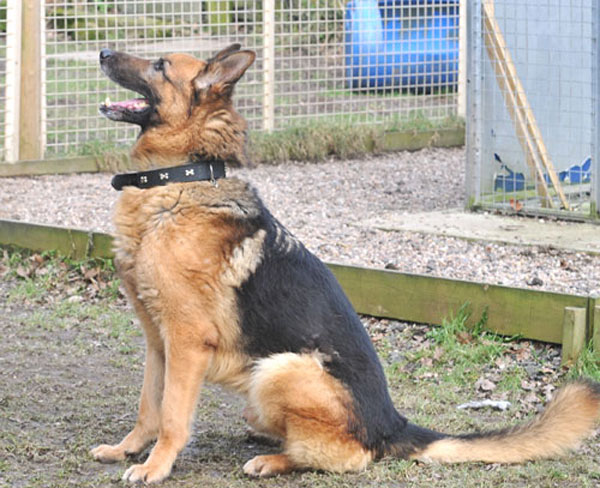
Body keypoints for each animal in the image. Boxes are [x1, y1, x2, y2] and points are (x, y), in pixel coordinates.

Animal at [91, 43, 596, 482]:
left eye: (159, 65)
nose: (102, 52)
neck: (176, 181)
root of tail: (392, 425)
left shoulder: (187, 341)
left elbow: (173, 416)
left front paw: (156, 466)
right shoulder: (158, 340)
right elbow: (149, 406)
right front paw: (128, 448)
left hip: (278, 369)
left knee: (347, 456)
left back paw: (273, 460)